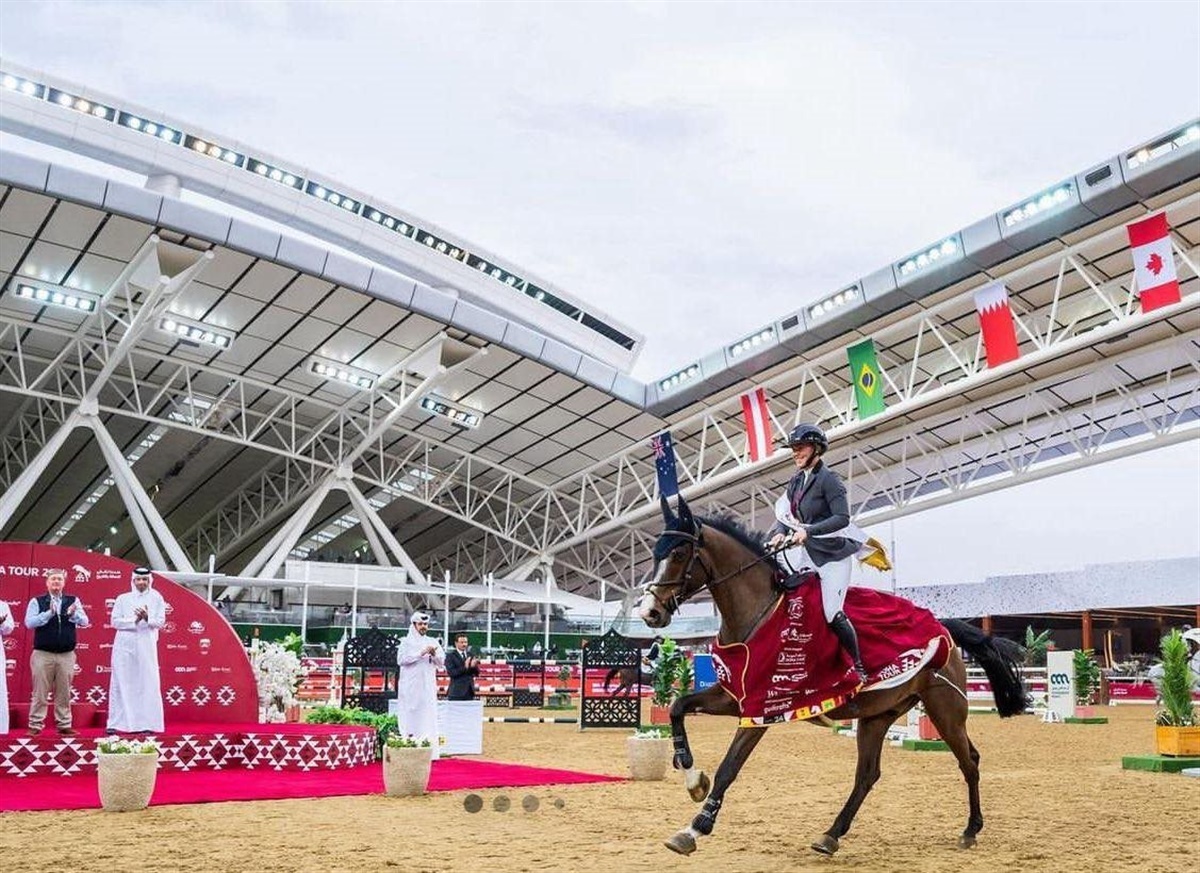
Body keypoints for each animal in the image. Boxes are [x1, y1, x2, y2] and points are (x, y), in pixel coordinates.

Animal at [637, 493, 1029, 858]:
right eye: (656, 553)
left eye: (679, 553)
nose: (650, 613)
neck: (758, 614)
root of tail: (943, 627)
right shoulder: (734, 696)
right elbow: (677, 707)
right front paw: (692, 779)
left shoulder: (763, 708)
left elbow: (729, 767)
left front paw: (694, 828)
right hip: (877, 716)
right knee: (867, 774)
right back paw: (830, 835)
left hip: (944, 709)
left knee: (969, 761)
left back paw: (971, 829)